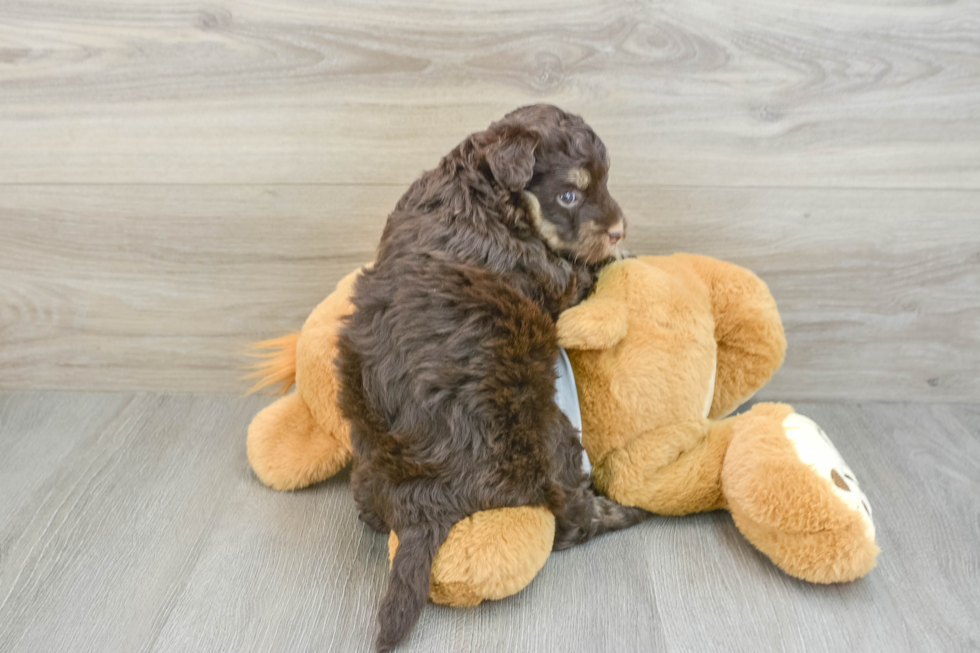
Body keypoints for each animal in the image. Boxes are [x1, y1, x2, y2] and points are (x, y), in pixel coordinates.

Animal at [336, 104, 652, 648]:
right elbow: (580, 272)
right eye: (569, 195)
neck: (482, 195)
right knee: (571, 517)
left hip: (367, 470)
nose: (618, 229)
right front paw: (620, 255)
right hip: (551, 435)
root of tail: (421, 503)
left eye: (605, 180)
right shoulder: (551, 276)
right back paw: (621, 511)